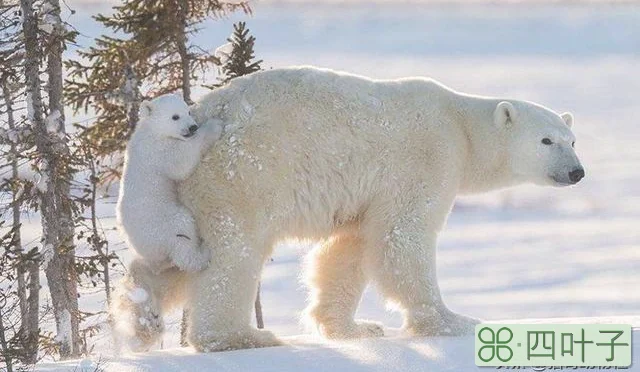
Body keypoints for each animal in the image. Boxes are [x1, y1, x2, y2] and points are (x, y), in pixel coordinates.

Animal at [166, 66, 584, 352]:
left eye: (572, 139)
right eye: (546, 140)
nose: (576, 172)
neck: (461, 127)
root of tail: (201, 112)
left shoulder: (364, 194)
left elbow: (349, 248)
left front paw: (356, 328)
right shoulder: (427, 157)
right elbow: (401, 237)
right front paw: (456, 321)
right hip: (242, 175)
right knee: (234, 254)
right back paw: (242, 336)